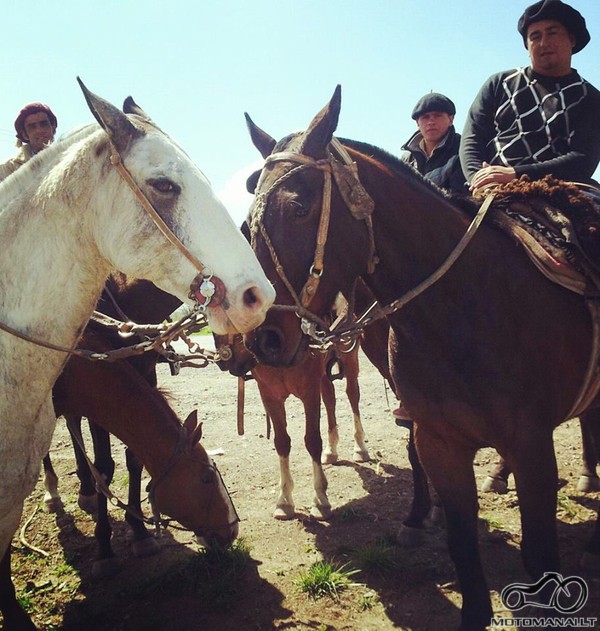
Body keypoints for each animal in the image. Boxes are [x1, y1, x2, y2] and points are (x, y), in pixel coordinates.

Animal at [0, 81, 274, 628]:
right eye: (164, 185)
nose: (260, 297)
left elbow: (128, 459)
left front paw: (141, 533)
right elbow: (104, 464)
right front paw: (109, 548)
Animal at [243, 86, 600, 628]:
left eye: (300, 209)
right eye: (249, 223)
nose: (263, 340)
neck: (467, 309)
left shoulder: (533, 446)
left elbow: (540, 558)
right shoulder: (440, 442)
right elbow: (461, 545)